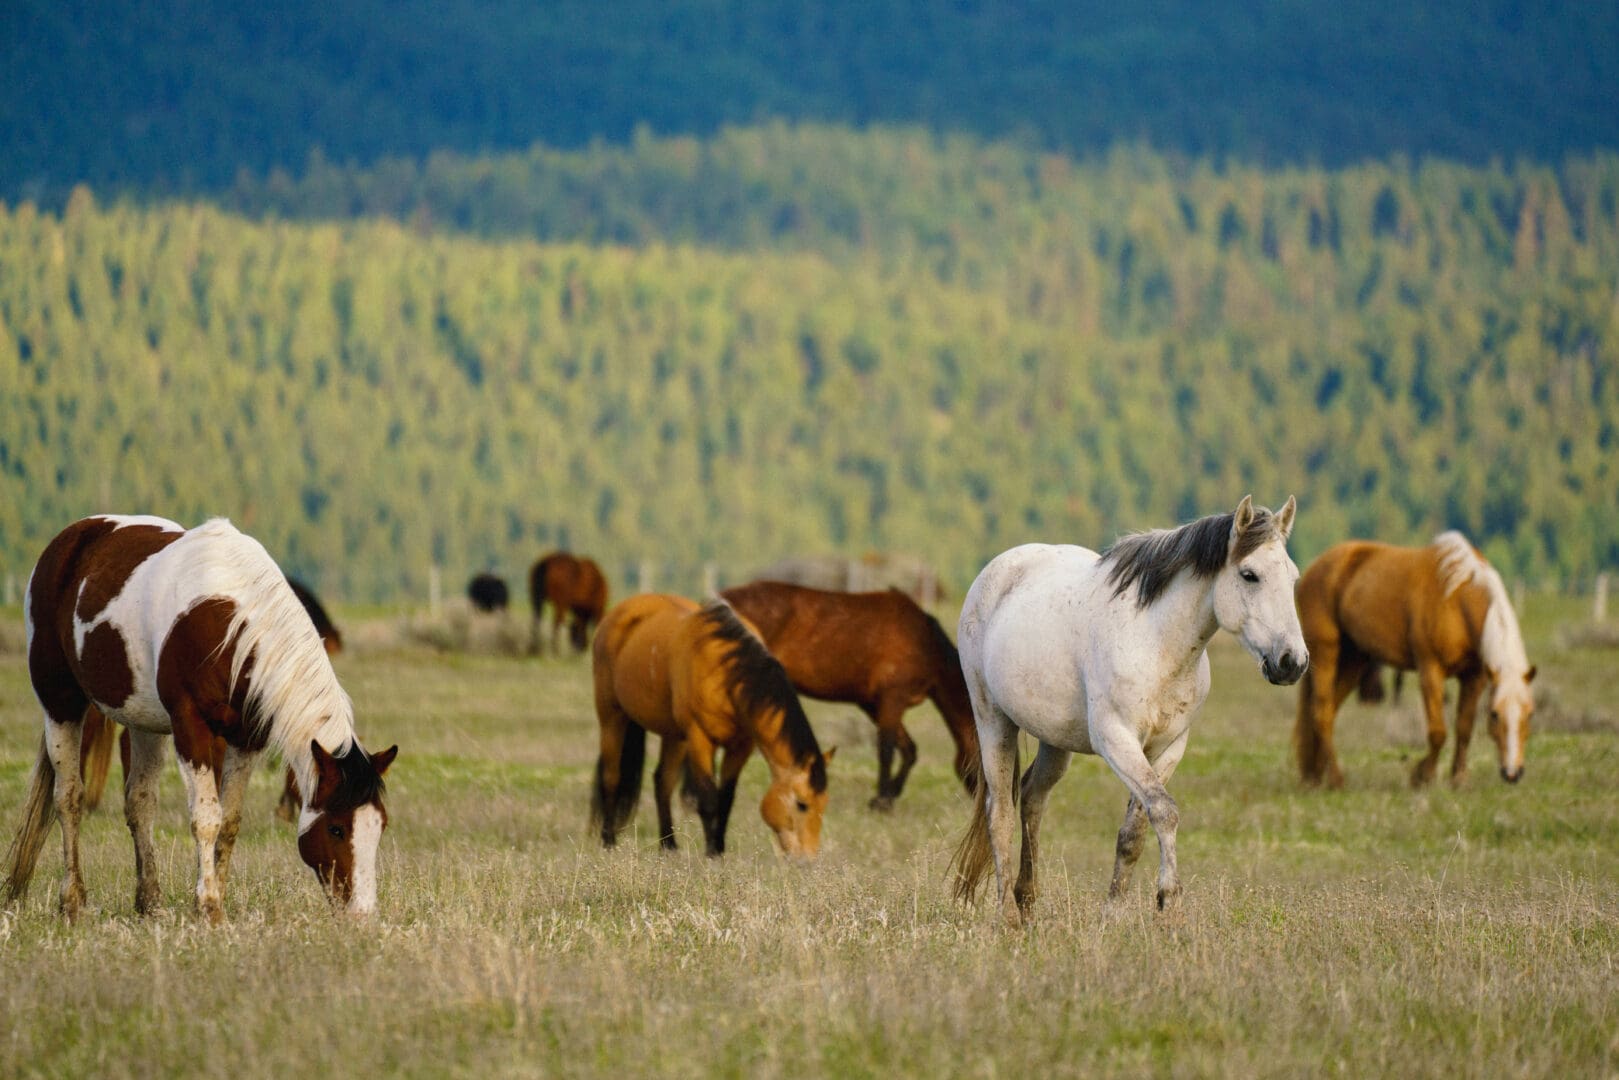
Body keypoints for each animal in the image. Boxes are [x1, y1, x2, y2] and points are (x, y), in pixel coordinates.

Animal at [3, 515, 397, 922]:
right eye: (336, 829)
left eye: (380, 824)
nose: (363, 913)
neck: (231, 627)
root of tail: (71, 537)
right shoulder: (190, 727)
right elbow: (206, 818)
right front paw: (207, 906)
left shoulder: (245, 738)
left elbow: (229, 822)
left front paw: (215, 899)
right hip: (60, 703)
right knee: (68, 798)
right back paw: (72, 901)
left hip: (143, 723)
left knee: (139, 802)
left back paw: (150, 902)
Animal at [591, 594, 834, 858]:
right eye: (802, 804)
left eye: (824, 804)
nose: (808, 858)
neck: (728, 672)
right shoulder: (700, 738)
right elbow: (708, 799)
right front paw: (710, 854)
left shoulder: (740, 747)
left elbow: (725, 798)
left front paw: (718, 849)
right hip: (612, 717)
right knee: (611, 777)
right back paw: (608, 841)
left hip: (674, 735)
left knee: (662, 781)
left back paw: (669, 846)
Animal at [720, 580, 977, 810]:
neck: (925, 642)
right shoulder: (893, 698)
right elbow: (887, 750)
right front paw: (881, 801)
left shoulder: (873, 704)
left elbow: (908, 750)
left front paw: (889, 796)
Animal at [952, 496, 1306, 928]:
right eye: (1249, 575)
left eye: (1292, 578)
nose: (1292, 662)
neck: (1156, 643)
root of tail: (997, 570)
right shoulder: (1116, 740)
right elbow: (1164, 811)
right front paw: (1170, 902)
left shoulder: (1168, 747)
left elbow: (1134, 831)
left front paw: (1114, 913)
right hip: (993, 721)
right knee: (1000, 812)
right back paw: (1008, 918)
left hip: (1055, 740)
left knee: (1033, 798)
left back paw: (1027, 900)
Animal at [1293, 530, 1536, 789]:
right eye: (1495, 714)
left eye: (1530, 714)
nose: (1512, 773)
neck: (1456, 599)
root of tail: (1313, 568)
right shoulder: (1430, 670)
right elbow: (1438, 732)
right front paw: (1422, 775)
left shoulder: (1475, 677)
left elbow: (1464, 727)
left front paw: (1458, 778)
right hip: (1326, 652)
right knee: (1321, 713)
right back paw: (1335, 778)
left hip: (1354, 660)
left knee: (1328, 711)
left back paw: (1316, 774)